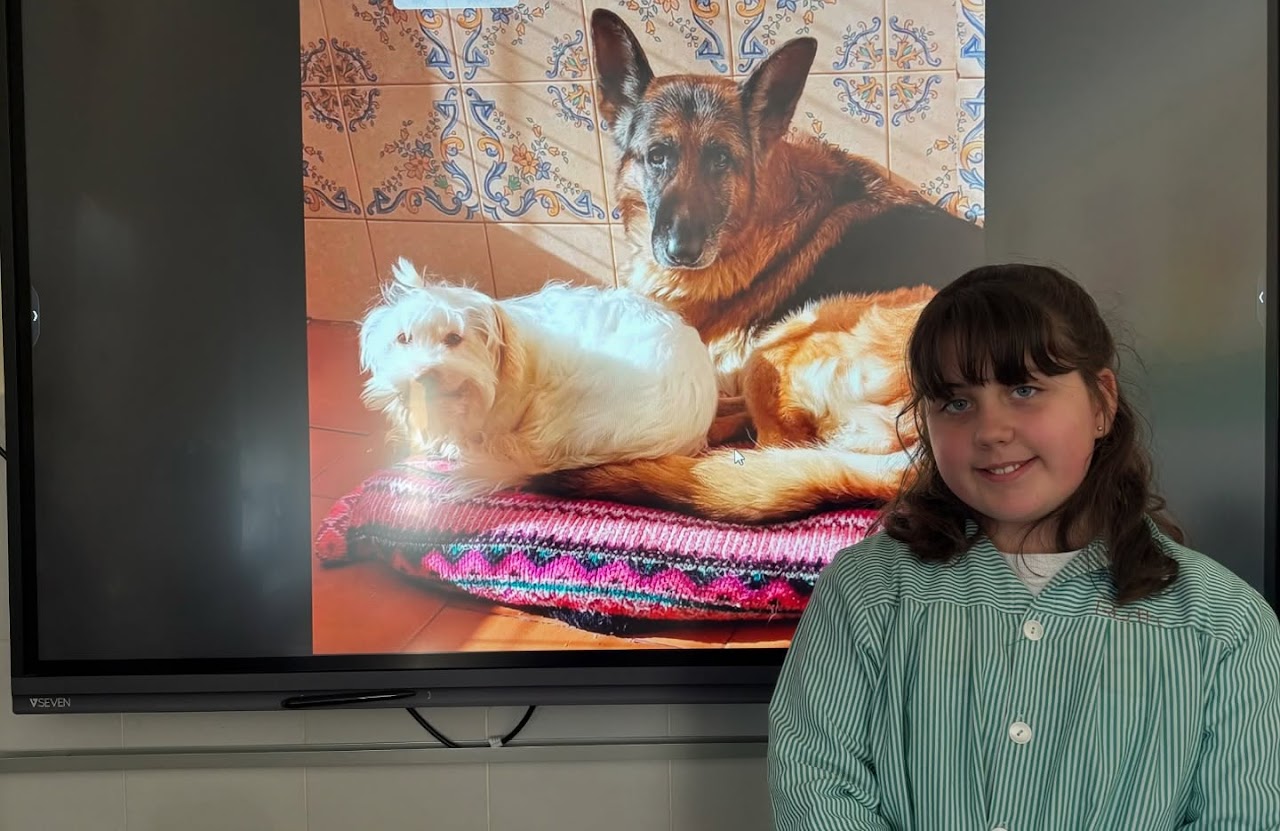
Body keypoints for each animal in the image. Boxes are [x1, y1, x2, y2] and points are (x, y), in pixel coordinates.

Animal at [529, 11, 985, 523]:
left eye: (721, 160)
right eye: (657, 157)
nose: (681, 251)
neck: (757, 212)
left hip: (779, 346)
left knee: (765, 444)